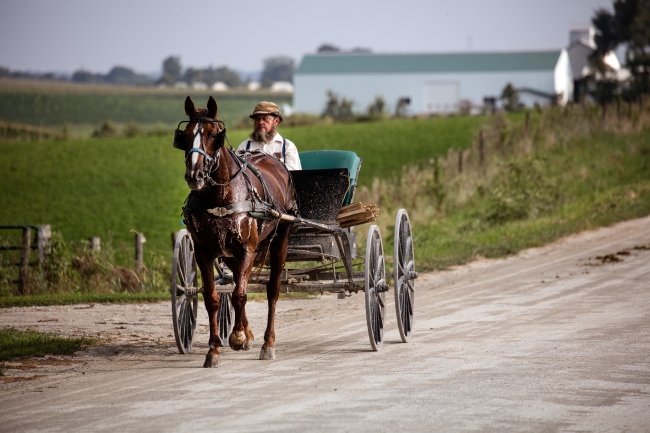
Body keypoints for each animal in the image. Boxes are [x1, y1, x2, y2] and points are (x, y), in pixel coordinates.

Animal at [172, 96, 294, 366]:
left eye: (213, 134)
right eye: (185, 135)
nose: (194, 175)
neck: (220, 195)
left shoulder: (247, 247)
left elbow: (239, 294)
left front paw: (237, 336)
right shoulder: (204, 251)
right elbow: (213, 297)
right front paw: (214, 349)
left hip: (280, 238)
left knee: (272, 289)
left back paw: (267, 342)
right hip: (230, 254)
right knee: (238, 280)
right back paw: (248, 333)